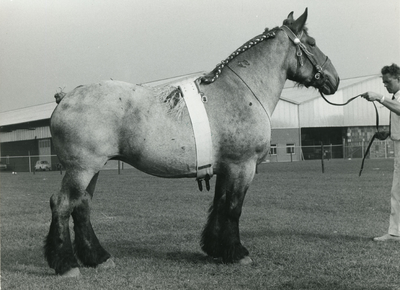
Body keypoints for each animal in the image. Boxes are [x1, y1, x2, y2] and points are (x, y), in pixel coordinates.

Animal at [43, 8, 340, 276]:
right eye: (312, 43)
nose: (334, 79)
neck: (242, 90)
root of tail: (66, 98)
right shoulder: (242, 166)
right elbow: (233, 208)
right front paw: (237, 253)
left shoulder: (226, 169)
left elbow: (219, 205)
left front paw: (216, 249)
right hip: (81, 169)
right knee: (62, 204)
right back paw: (66, 264)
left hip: (91, 169)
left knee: (81, 207)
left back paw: (98, 258)